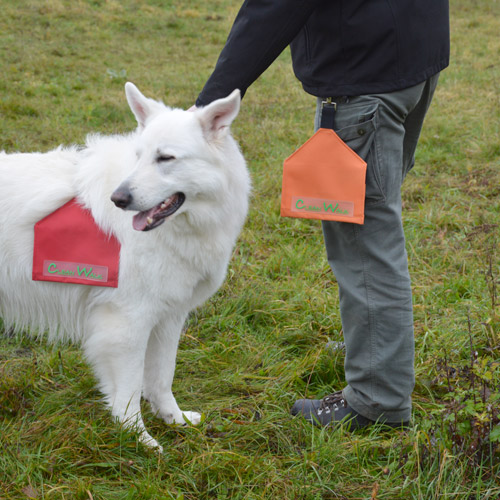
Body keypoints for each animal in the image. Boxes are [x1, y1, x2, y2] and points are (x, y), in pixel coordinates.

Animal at [0, 82, 250, 450]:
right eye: (138, 156)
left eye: (165, 158)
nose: (118, 200)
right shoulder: (126, 324)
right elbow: (129, 390)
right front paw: (137, 438)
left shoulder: (168, 319)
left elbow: (161, 378)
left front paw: (174, 420)